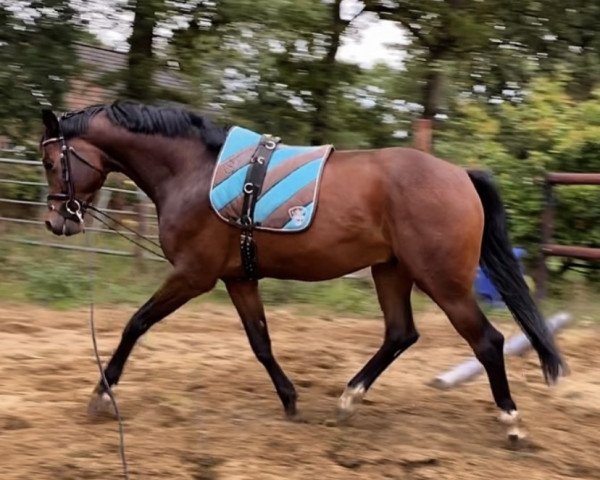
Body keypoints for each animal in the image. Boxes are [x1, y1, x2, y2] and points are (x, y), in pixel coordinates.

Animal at [39, 101, 564, 438]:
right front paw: (290, 400)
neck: (190, 173)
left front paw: (101, 394)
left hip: (443, 281)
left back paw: (511, 422)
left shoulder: (193, 276)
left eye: (49, 159)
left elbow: (135, 323)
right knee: (400, 333)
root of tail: (460, 175)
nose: (56, 220)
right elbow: (261, 342)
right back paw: (348, 400)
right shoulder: (238, 278)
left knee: (488, 341)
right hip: (391, 271)